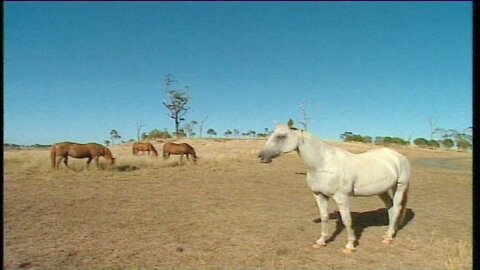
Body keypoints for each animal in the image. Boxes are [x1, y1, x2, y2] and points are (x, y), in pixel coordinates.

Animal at [256, 123, 410, 252]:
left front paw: (350, 245)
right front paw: (321, 241)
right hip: (382, 191)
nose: (261, 156)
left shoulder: (341, 197)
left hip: (400, 187)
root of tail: (398, 156)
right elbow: (324, 217)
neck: (324, 164)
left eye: (281, 136)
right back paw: (388, 234)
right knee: (390, 207)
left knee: (396, 208)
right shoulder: (319, 195)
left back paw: (388, 238)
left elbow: (347, 220)